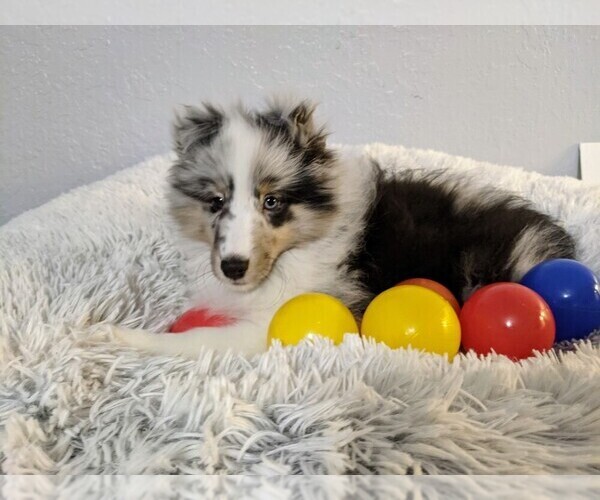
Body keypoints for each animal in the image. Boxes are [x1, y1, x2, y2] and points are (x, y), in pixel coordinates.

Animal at [113, 96, 576, 356]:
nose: (233, 268)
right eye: (216, 202)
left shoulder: (269, 322)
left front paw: (123, 339)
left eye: (272, 201)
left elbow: (198, 341)